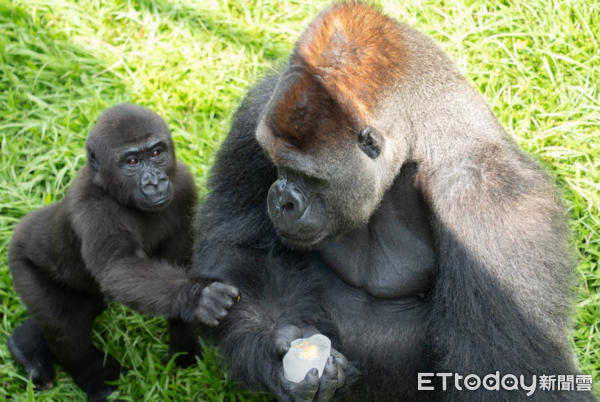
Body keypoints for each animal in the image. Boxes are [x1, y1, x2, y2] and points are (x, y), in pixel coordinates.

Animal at [7, 104, 239, 402]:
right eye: (132, 162)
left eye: (156, 153)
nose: (155, 183)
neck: (110, 187)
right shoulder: (93, 207)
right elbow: (119, 268)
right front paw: (198, 296)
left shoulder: (183, 185)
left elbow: (179, 263)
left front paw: (183, 353)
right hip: (21, 264)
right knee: (64, 323)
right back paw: (93, 377)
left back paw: (26, 346)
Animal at [193, 3, 596, 402]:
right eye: (277, 164)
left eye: (307, 176)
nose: (281, 200)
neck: (418, 145)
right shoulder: (259, 111)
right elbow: (239, 250)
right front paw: (283, 349)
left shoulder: (489, 199)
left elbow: (507, 372)